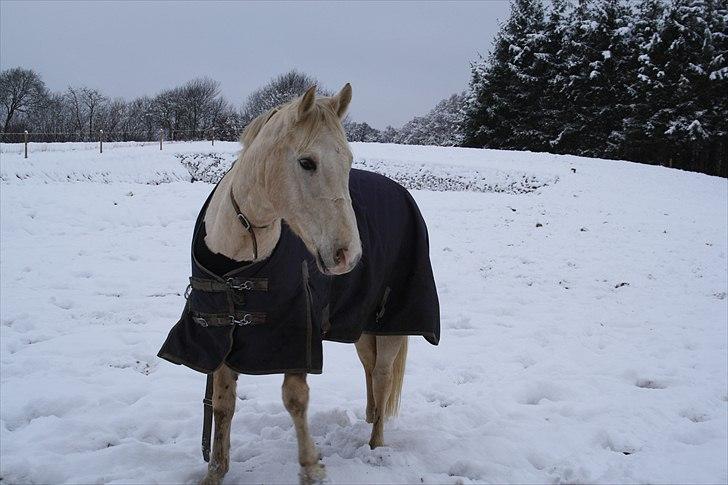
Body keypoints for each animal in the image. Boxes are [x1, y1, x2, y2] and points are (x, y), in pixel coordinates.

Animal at [158, 85, 438, 482]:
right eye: (307, 163)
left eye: (348, 161)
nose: (348, 255)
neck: (238, 264)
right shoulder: (221, 333)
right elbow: (224, 405)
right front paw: (215, 471)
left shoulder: (296, 334)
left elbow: (295, 398)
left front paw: (310, 467)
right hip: (362, 326)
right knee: (369, 369)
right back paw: (370, 418)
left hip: (393, 324)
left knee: (382, 375)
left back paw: (376, 445)